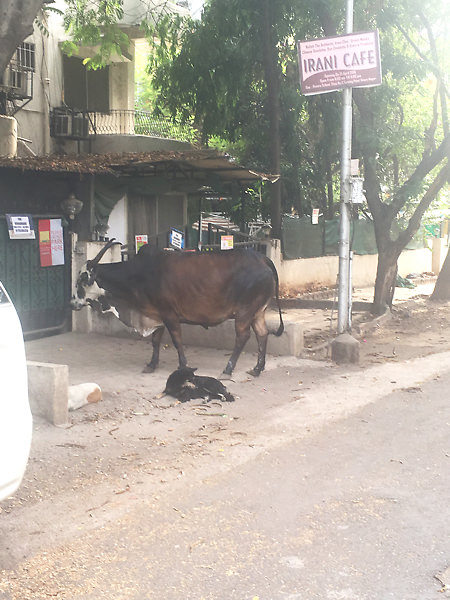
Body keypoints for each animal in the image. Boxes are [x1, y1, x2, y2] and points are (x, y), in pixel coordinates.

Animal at [71, 238, 284, 376]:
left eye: (81, 279)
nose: (72, 303)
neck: (138, 274)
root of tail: (262, 258)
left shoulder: (169, 314)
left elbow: (176, 341)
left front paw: (183, 366)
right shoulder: (156, 314)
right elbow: (155, 341)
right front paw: (152, 364)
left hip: (245, 312)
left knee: (243, 336)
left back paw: (228, 369)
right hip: (257, 312)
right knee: (262, 334)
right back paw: (257, 369)